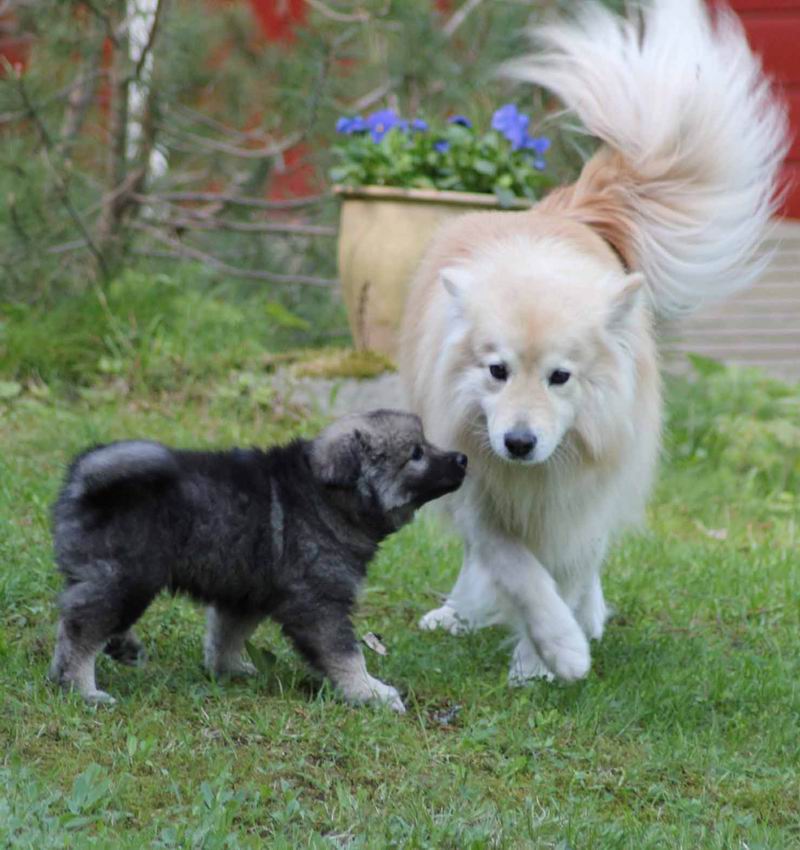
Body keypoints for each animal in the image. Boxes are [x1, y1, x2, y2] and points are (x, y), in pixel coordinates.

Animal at [48, 410, 467, 711]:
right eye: (415, 454)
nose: (462, 458)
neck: (328, 498)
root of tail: (83, 480)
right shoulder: (320, 604)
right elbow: (347, 654)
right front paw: (369, 692)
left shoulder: (246, 592)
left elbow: (226, 636)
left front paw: (228, 670)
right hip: (126, 577)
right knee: (80, 630)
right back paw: (82, 689)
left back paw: (119, 649)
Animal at [399, 0, 787, 684]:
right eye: (496, 370)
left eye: (561, 377)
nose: (518, 443)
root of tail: (563, 209)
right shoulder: (480, 487)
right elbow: (518, 568)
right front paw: (557, 645)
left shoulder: (588, 488)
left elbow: (569, 566)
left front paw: (544, 656)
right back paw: (461, 613)